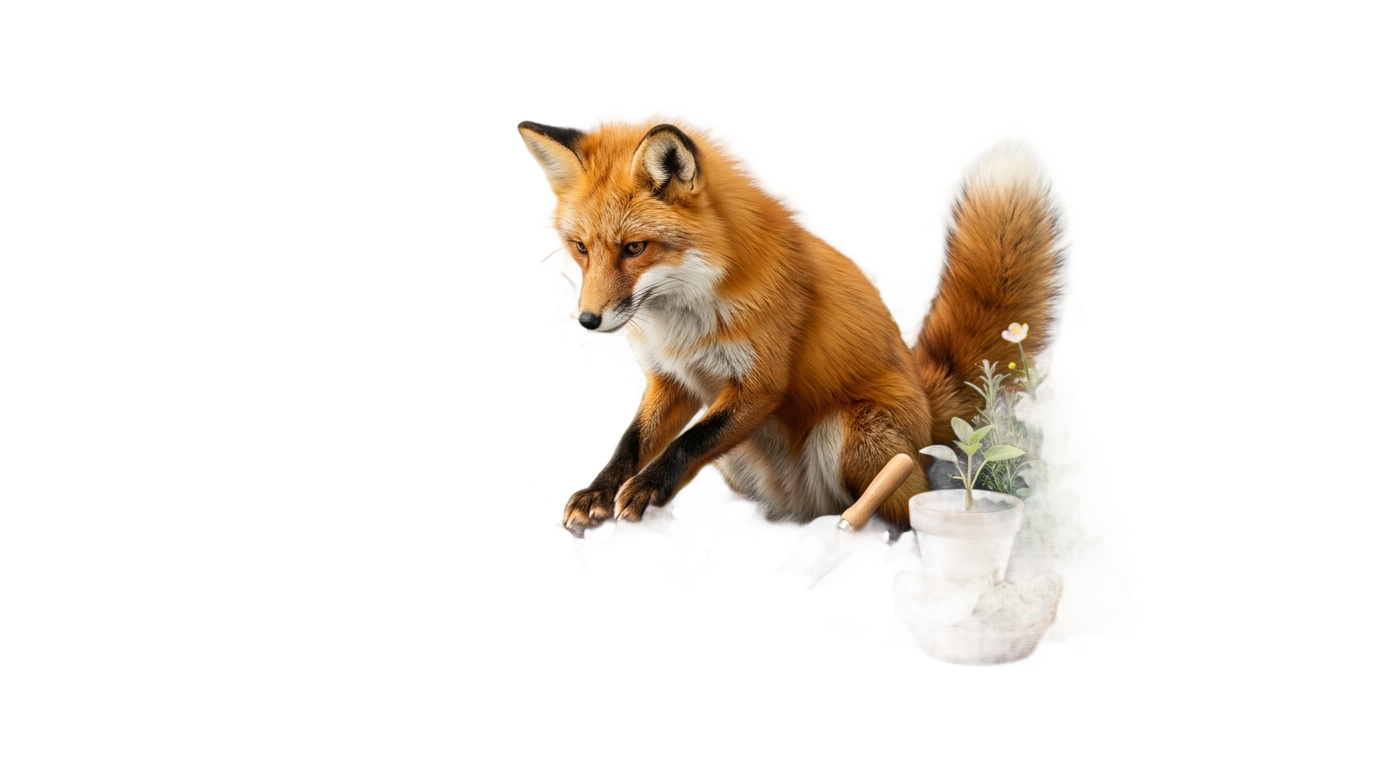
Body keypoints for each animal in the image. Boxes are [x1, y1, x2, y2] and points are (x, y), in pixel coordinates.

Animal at [515, 118, 1064, 532]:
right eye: (580, 248)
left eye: (634, 248)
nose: (587, 320)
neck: (686, 315)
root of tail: (929, 413)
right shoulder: (672, 379)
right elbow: (633, 441)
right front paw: (598, 493)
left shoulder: (761, 384)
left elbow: (689, 441)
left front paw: (647, 488)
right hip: (742, 467)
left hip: (854, 437)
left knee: (897, 513)